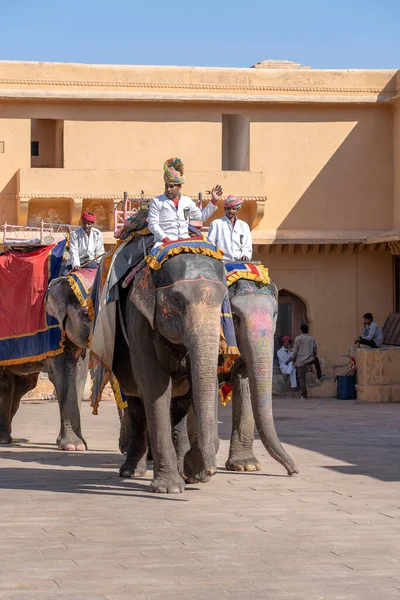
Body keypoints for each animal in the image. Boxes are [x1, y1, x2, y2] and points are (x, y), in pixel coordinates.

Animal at [0, 276, 91, 450]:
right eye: (85, 314)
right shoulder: (54, 330)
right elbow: (64, 377)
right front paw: (73, 447)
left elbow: (79, 375)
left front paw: (79, 446)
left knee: (18, 386)